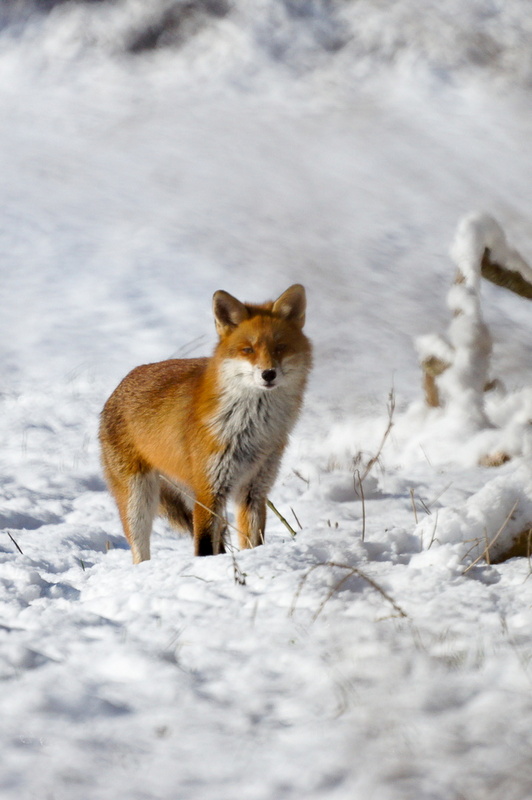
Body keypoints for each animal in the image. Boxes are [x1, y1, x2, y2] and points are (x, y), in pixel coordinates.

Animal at [100, 284, 312, 560]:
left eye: (280, 347)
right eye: (248, 349)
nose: (268, 374)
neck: (251, 427)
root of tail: (122, 383)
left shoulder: (254, 489)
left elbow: (253, 541)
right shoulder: (209, 490)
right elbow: (202, 548)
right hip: (138, 500)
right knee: (139, 550)